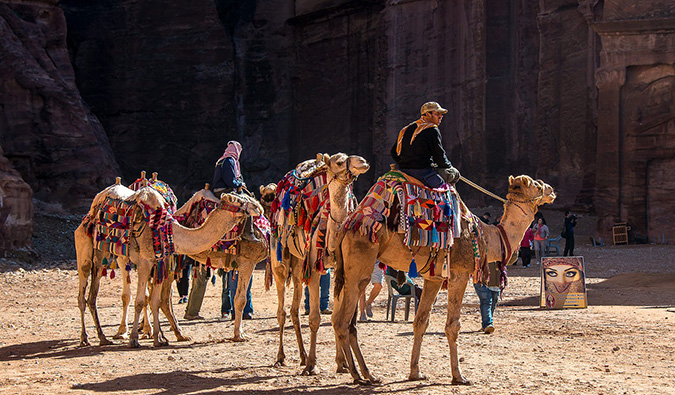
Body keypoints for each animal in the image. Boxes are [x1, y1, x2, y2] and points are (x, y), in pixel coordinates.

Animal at [76, 184, 262, 348]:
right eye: (239, 201)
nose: (258, 207)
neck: (169, 230)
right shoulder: (145, 262)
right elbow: (140, 300)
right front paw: (134, 339)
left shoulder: (160, 263)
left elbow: (155, 300)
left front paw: (159, 339)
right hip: (85, 245)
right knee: (83, 293)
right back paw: (86, 338)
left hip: (106, 255)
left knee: (92, 296)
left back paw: (103, 338)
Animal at [268, 153, 370, 376]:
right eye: (339, 162)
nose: (363, 162)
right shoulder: (314, 270)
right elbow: (315, 318)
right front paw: (312, 365)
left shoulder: (338, 270)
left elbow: (334, 318)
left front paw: (341, 363)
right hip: (279, 259)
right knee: (281, 311)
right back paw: (282, 357)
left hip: (299, 265)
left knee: (294, 310)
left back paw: (302, 355)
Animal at [330, 175, 556, 386]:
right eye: (537, 185)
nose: (551, 190)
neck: (487, 236)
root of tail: (346, 228)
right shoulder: (459, 273)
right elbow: (453, 326)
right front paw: (459, 376)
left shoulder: (434, 278)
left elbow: (420, 322)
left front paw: (415, 373)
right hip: (359, 265)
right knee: (342, 322)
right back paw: (357, 375)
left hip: (345, 274)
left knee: (341, 320)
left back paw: (367, 374)